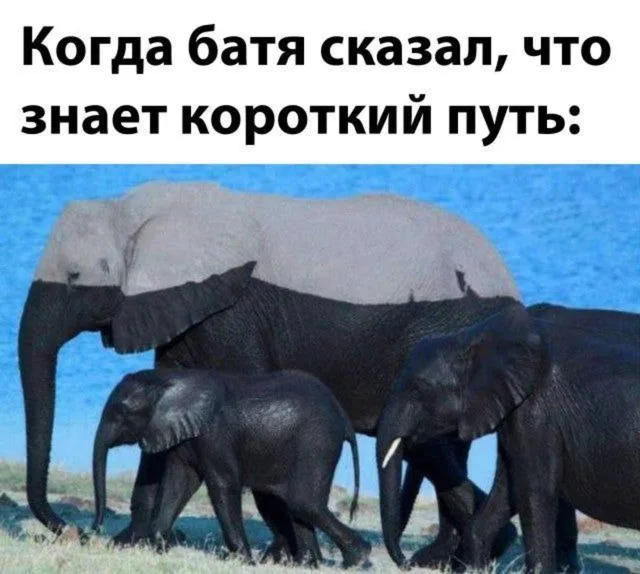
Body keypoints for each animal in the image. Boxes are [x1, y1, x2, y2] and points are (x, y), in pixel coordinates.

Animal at [92, 368, 371, 567]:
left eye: (122, 413)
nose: (93, 531)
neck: (168, 379)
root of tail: (343, 416)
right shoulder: (185, 435)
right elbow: (179, 483)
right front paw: (158, 546)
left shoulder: (216, 435)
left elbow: (222, 485)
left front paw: (244, 561)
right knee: (294, 505)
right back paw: (306, 564)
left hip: (317, 443)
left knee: (303, 502)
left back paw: (359, 560)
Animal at [376, 301, 640, 573]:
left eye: (417, 389)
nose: (408, 562)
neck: (471, 336)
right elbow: (509, 489)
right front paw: (476, 568)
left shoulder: (536, 413)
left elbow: (533, 492)